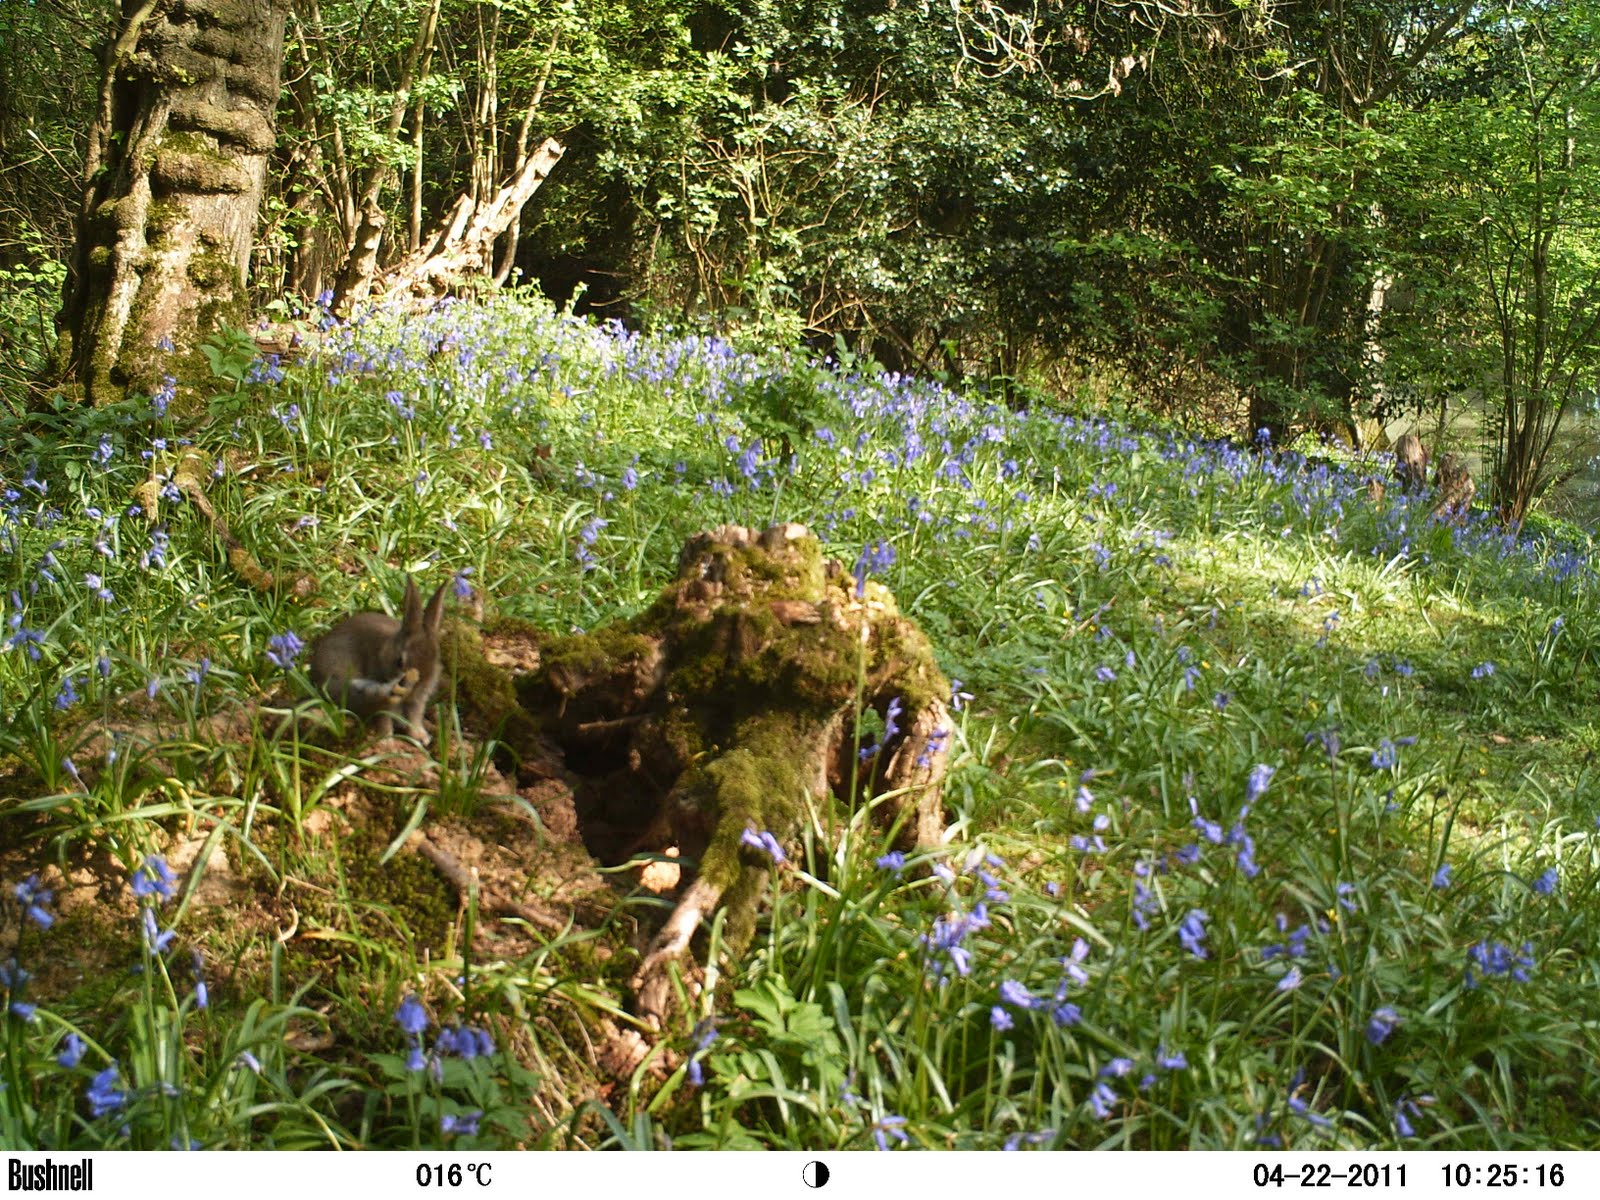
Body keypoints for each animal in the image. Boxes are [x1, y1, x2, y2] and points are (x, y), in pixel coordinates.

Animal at [309, 575, 447, 743]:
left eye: (436, 659)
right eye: (400, 661)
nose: (415, 686)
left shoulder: (417, 700)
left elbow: (414, 717)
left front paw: (420, 737)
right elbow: (383, 717)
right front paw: (386, 741)